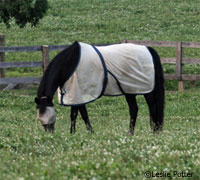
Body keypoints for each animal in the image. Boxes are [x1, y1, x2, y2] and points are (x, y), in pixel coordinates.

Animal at [35, 41, 165, 135]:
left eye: (48, 117)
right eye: (40, 120)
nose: (50, 134)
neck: (69, 64)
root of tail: (148, 49)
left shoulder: (79, 94)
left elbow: (79, 115)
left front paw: (83, 133)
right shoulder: (76, 96)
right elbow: (78, 115)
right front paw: (78, 133)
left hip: (147, 91)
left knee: (152, 107)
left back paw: (154, 131)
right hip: (129, 90)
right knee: (134, 109)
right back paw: (131, 133)